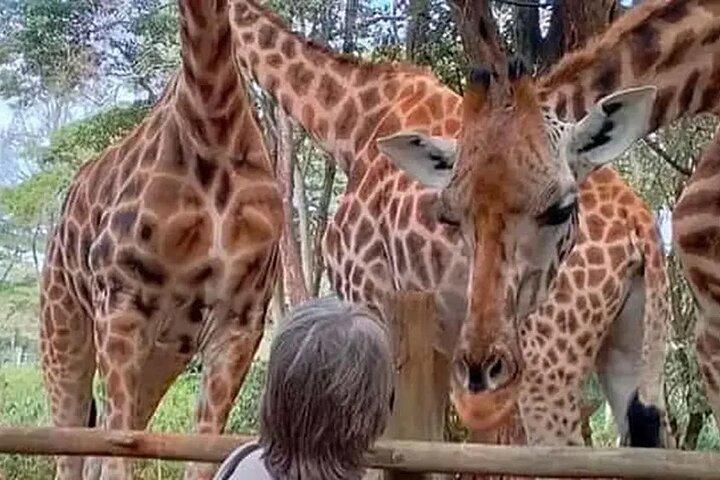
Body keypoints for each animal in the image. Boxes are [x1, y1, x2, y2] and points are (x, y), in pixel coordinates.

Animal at [39, 1, 282, 479]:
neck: (212, 122)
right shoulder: (120, 302)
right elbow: (118, 452)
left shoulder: (240, 319)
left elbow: (201, 455)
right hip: (63, 330)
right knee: (73, 448)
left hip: (164, 352)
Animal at [228, 0, 669, 446]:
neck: (350, 121)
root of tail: (640, 221)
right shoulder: (436, 343)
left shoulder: (366, 293)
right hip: (626, 348)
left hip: (549, 358)